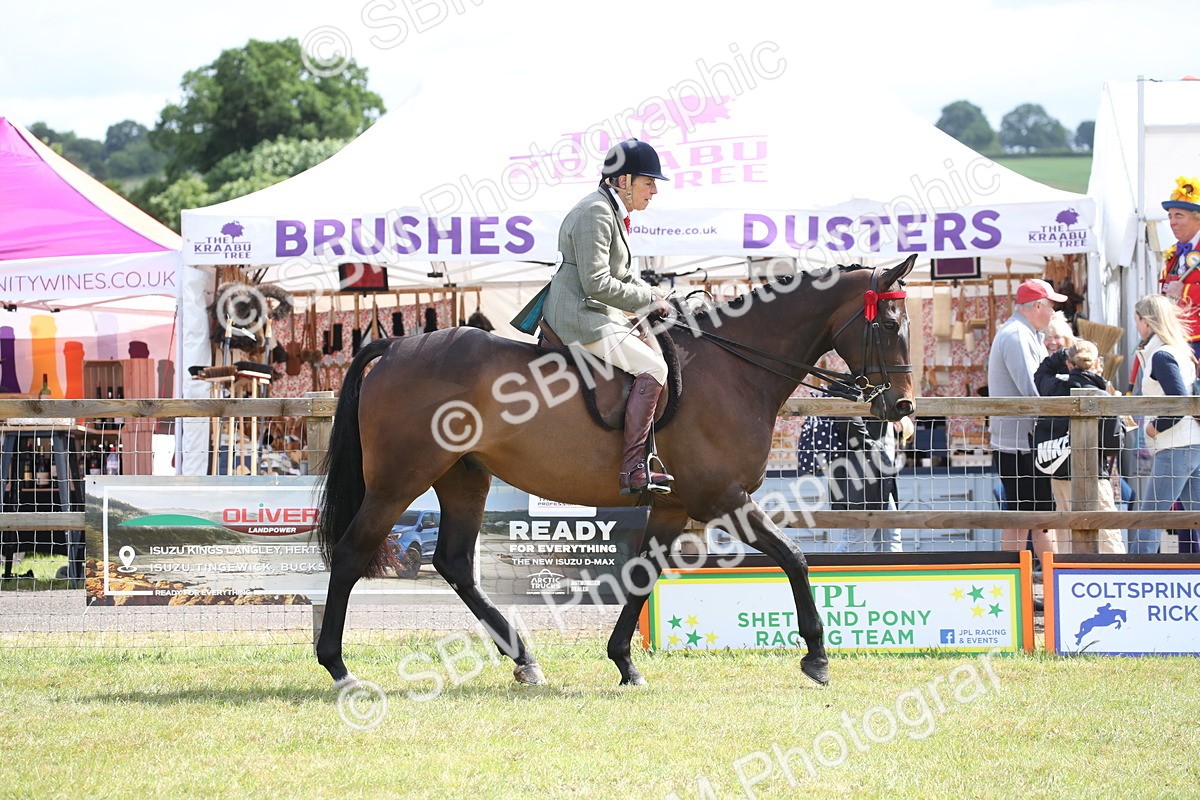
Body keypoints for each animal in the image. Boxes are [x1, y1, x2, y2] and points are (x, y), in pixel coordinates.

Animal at [315, 254, 917, 688]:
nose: (902, 407)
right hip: (397, 482)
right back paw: (339, 668)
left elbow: (641, 576)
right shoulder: (722, 498)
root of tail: (396, 347)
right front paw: (817, 657)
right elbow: (794, 557)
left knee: (455, 563)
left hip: (464, 477)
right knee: (351, 554)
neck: (733, 368)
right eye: (889, 324)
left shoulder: (673, 505)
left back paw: (524, 660)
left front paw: (625, 662)